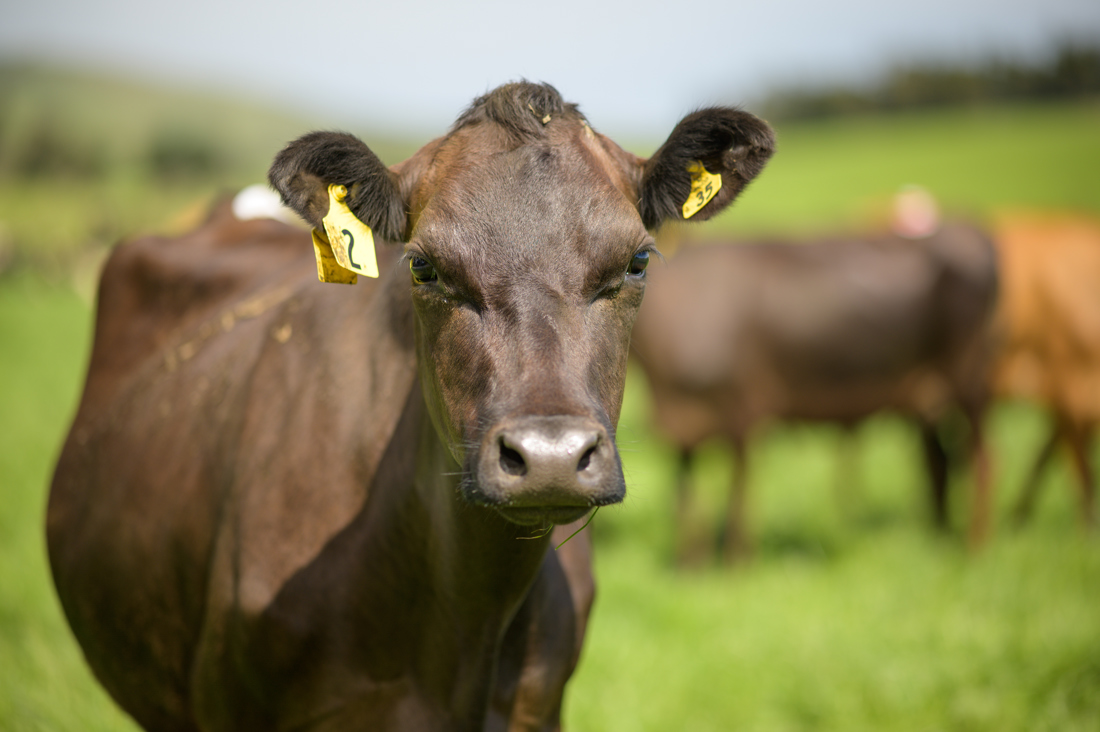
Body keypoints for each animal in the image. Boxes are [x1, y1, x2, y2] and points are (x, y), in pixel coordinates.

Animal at [630, 223, 998, 563]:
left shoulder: (743, 412)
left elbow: (738, 490)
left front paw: (737, 562)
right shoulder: (682, 424)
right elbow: (684, 491)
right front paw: (691, 563)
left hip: (970, 380)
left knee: (983, 460)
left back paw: (974, 547)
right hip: (930, 400)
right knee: (940, 463)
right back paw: (938, 538)